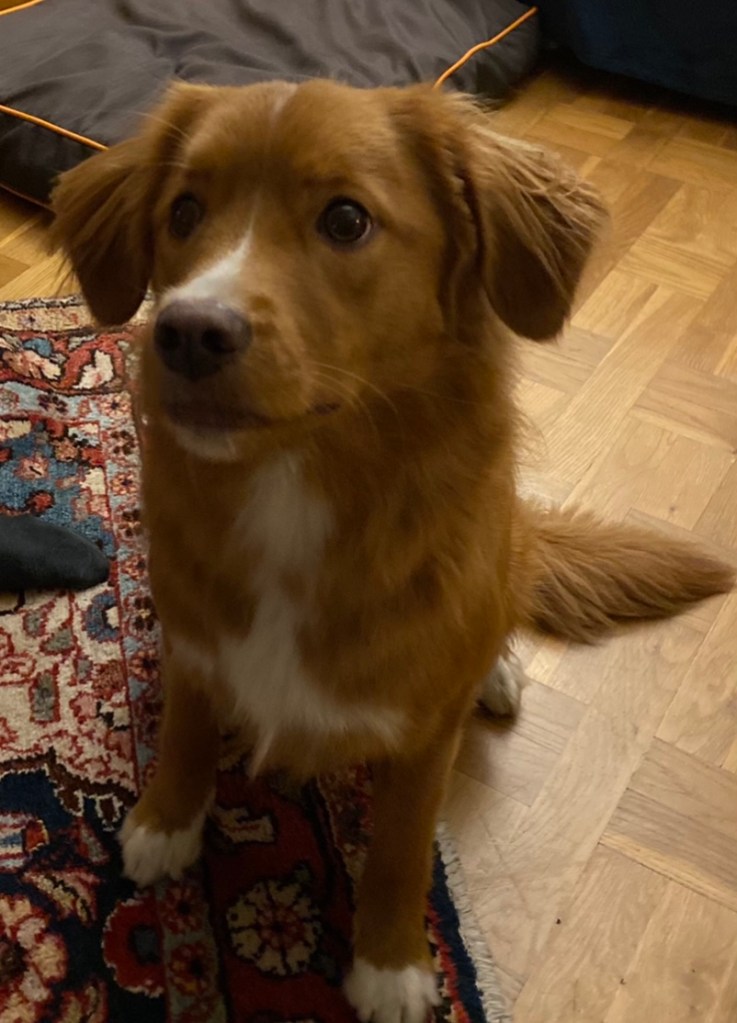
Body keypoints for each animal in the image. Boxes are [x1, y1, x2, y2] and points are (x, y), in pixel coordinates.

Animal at [51, 80, 734, 1023]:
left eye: (345, 220)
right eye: (183, 211)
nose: (185, 333)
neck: (295, 487)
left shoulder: (421, 739)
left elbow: (403, 847)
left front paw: (389, 962)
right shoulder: (193, 640)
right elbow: (187, 729)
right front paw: (166, 820)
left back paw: (495, 670)